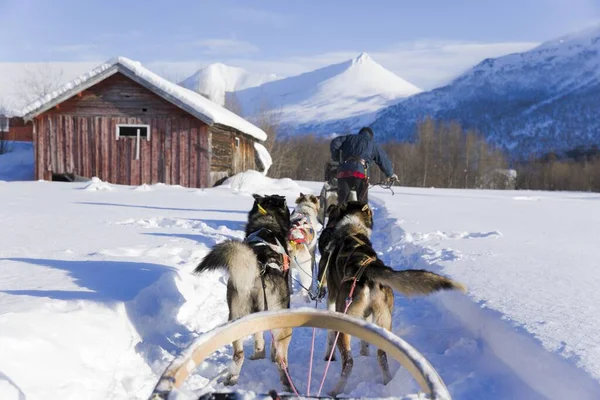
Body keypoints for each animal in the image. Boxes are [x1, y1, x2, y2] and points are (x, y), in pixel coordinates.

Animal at [195, 194, 292, 390]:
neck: (267, 221)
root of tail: (258, 268)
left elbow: (258, 339)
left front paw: (259, 354)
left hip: (237, 317)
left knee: (239, 354)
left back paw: (232, 377)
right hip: (282, 323)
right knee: (281, 359)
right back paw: (287, 382)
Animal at [318, 202, 464, 396]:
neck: (352, 230)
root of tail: (369, 269)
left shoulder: (332, 299)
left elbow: (329, 336)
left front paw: (329, 356)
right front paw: (364, 354)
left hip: (345, 320)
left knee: (348, 363)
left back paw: (335, 391)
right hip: (383, 324)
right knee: (382, 356)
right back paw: (387, 382)